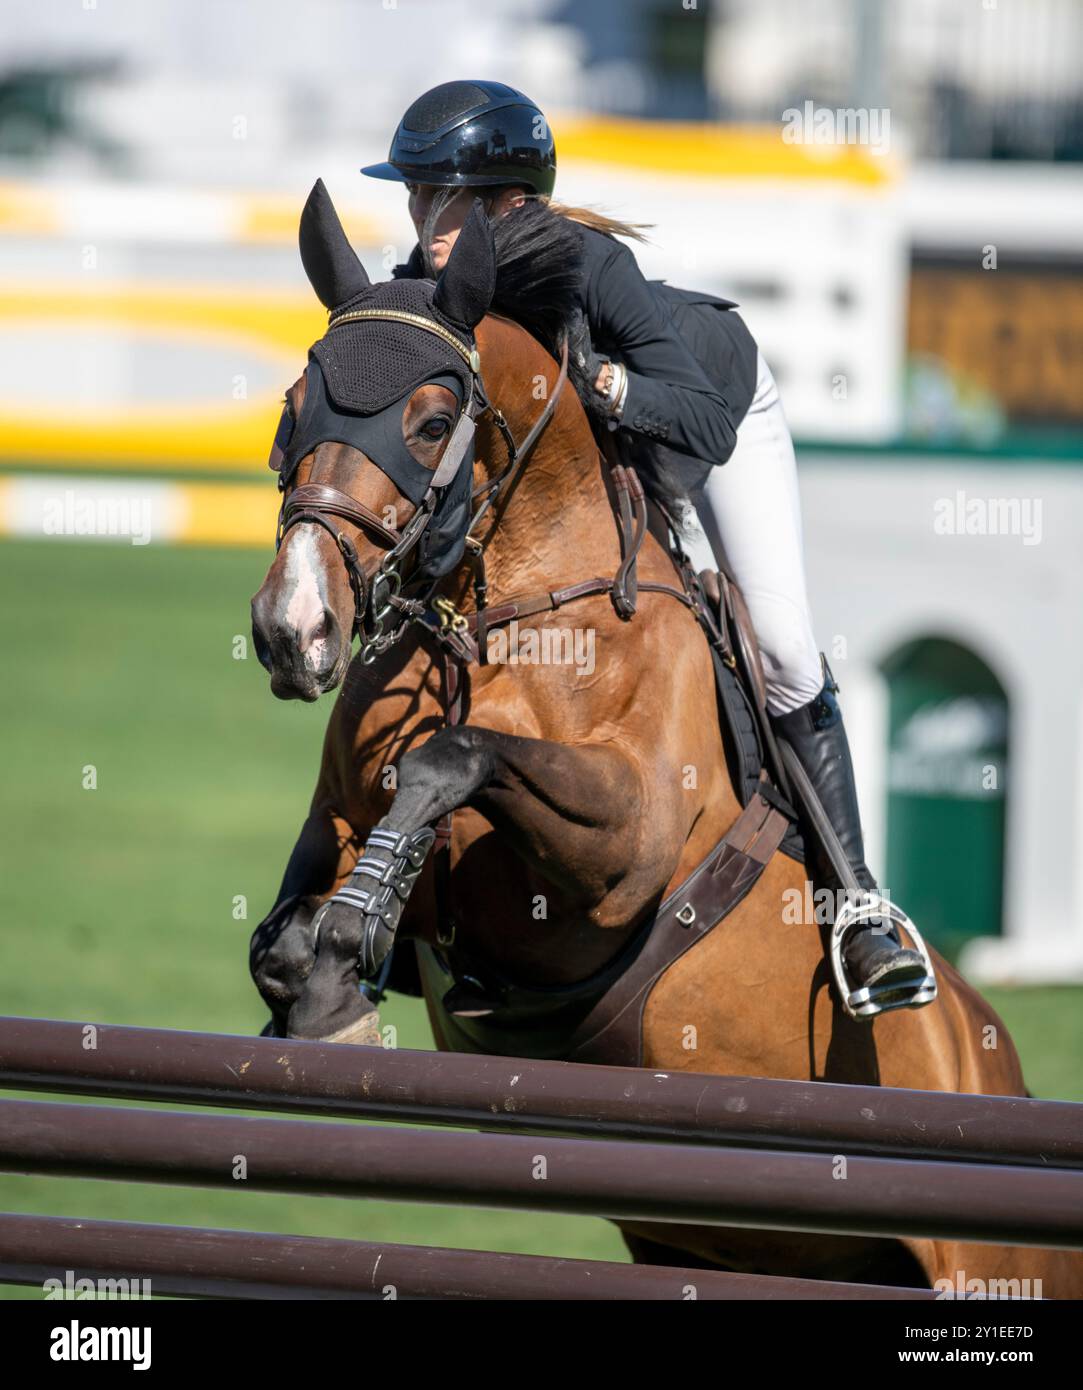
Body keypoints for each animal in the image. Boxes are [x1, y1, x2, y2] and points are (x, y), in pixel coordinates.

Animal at [250, 179, 1078, 1295]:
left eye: (429, 423)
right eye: (295, 409)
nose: (293, 629)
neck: (507, 606)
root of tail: (993, 1064)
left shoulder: (622, 852)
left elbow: (452, 758)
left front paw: (352, 949)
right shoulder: (338, 815)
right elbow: (289, 930)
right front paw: (333, 980)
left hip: (987, 1257)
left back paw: (878, 955)